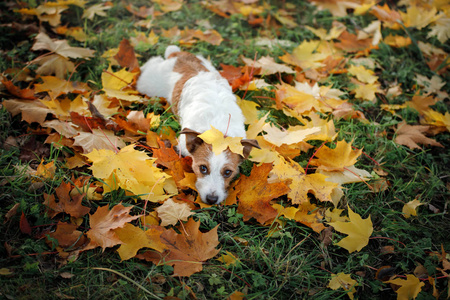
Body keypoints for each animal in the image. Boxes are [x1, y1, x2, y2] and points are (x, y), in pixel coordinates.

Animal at [135, 45, 258, 205]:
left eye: (228, 172)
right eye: (203, 168)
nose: (211, 199)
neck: (218, 132)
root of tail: (177, 55)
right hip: (149, 84)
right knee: (151, 64)